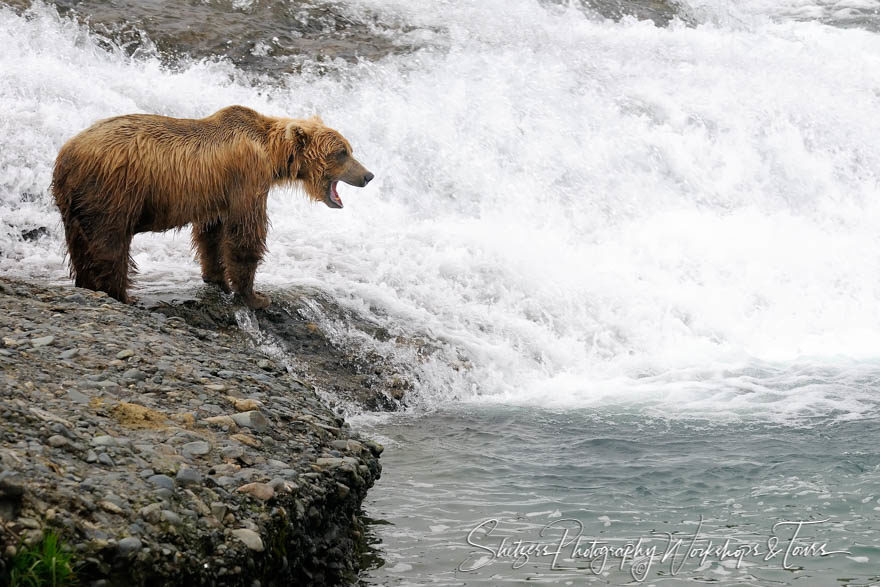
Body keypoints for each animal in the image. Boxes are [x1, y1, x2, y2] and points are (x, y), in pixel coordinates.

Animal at [49, 106, 372, 310]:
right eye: (342, 152)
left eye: (349, 149)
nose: (368, 175)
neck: (272, 155)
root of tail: (66, 154)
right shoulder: (248, 177)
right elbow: (245, 232)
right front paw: (255, 296)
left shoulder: (217, 193)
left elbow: (211, 234)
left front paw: (217, 278)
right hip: (112, 191)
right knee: (110, 244)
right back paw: (122, 294)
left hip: (74, 202)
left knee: (80, 245)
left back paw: (87, 284)